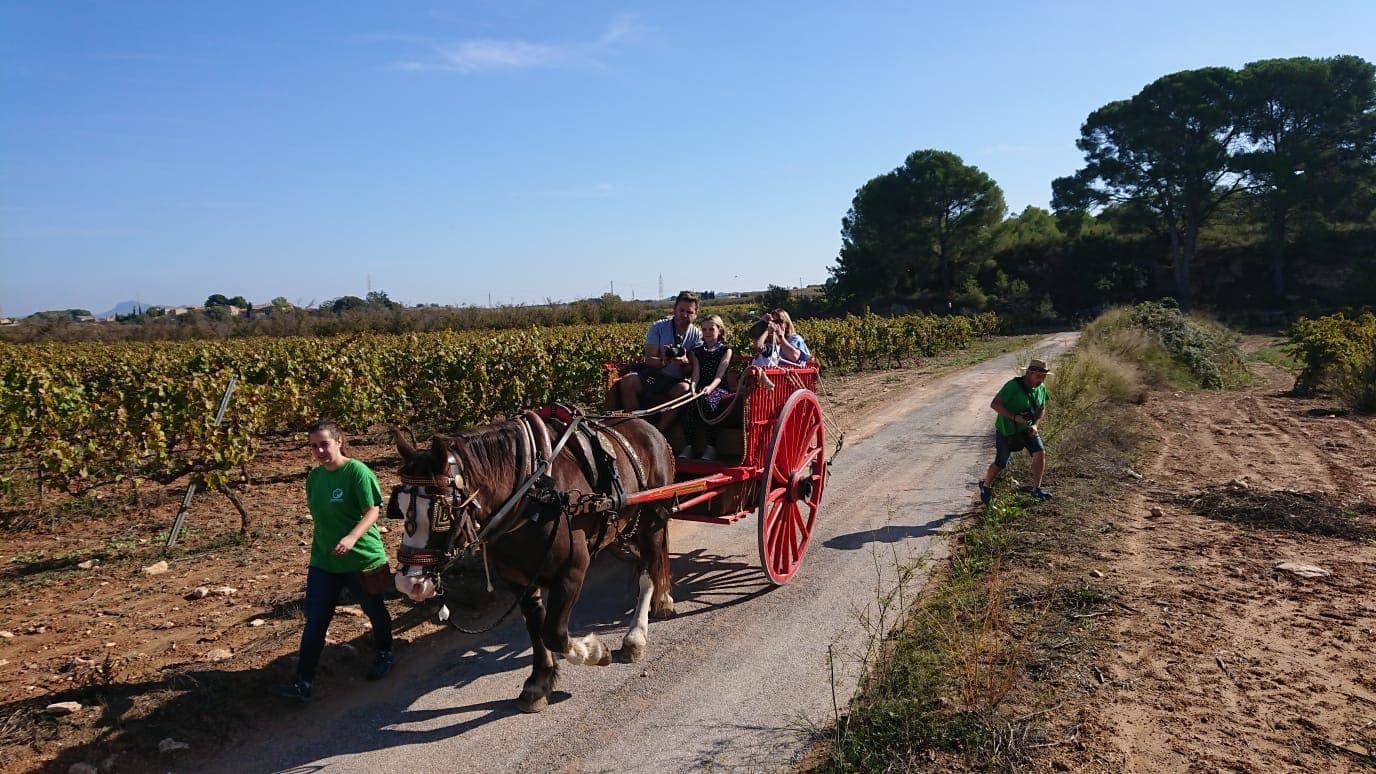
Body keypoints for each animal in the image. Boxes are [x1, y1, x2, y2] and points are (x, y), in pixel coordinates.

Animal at [388, 407, 676, 716]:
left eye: (441, 512)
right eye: (399, 507)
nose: (408, 583)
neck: (534, 494)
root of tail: (646, 424)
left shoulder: (571, 571)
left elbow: (554, 633)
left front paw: (595, 651)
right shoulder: (519, 580)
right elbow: (537, 629)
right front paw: (539, 682)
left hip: (653, 519)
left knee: (648, 571)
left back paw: (636, 636)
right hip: (627, 524)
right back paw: (663, 599)